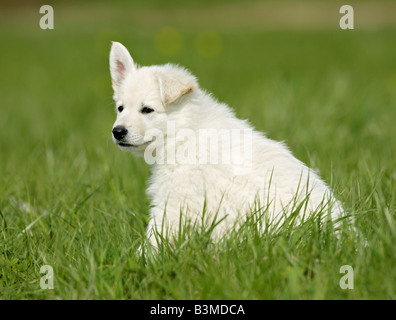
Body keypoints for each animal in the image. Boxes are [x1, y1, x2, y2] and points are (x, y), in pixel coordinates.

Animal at [109, 42, 344, 248]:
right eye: (120, 108)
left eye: (147, 110)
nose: (117, 132)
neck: (185, 132)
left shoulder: (176, 201)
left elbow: (155, 239)